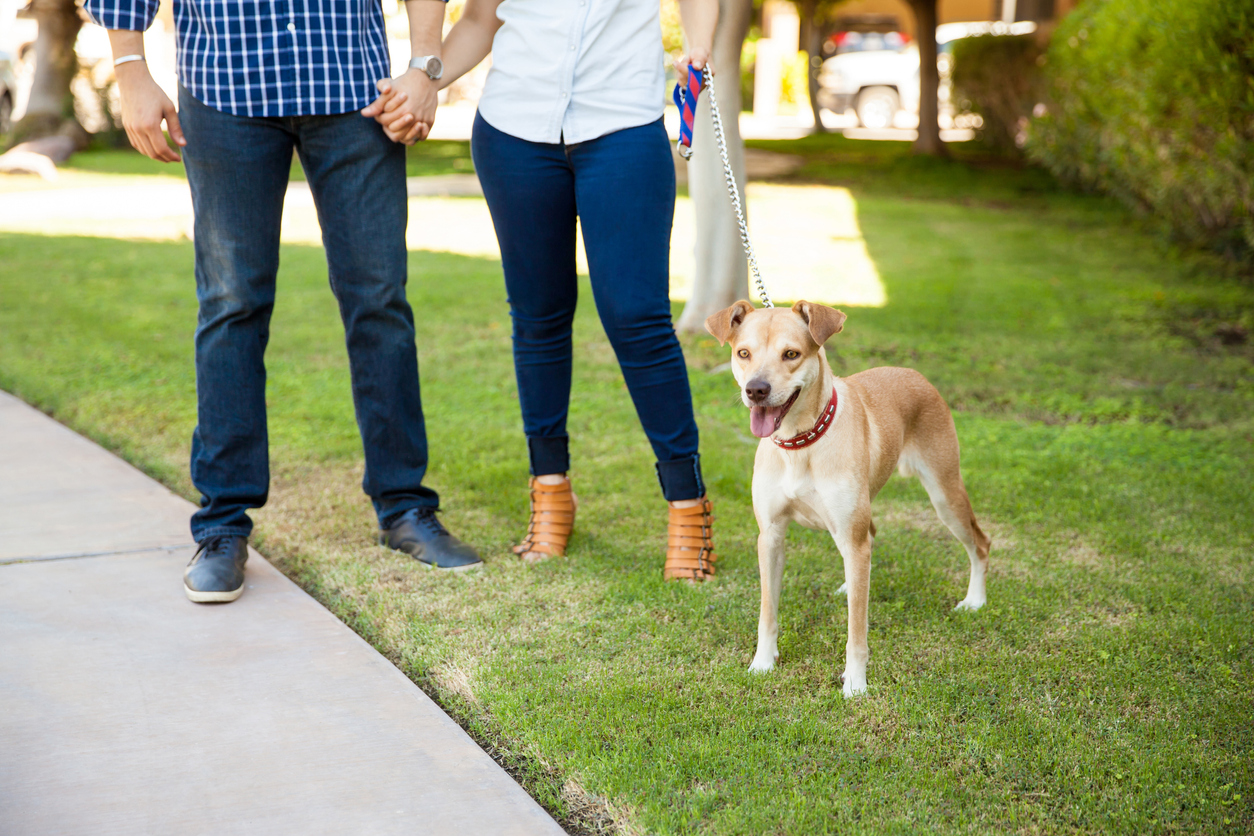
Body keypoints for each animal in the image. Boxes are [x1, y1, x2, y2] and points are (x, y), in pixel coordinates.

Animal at [707, 299, 988, 691]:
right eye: (743, 353)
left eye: (791, 354)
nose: (756, 389)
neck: (801, 442)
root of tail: (914, 373)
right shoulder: (770, 536)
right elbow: (767, 612)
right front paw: (762, 662)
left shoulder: (851, 540)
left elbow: (857, 629)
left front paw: (855, 683)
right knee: (869, 541)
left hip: (944, 494)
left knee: (980, 543)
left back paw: (975, 600)